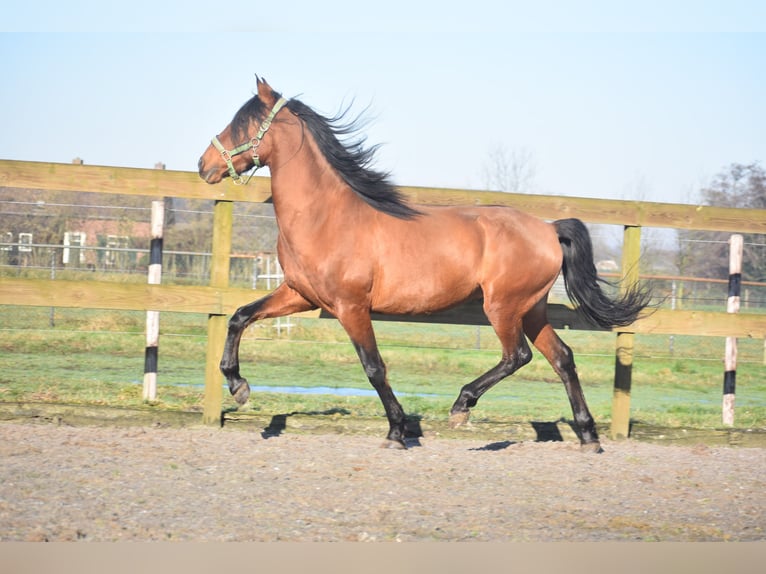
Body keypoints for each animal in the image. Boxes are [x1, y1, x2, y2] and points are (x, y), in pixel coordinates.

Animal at [196, 77, 648, 454]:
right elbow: (239, 316)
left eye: (241, 124)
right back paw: (588, 436)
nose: (204, 166)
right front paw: (237, 385)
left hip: (502, 307)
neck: (326, 217)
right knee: (562, 358)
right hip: (532, 308)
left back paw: (461, 406)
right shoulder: (300, 294)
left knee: (517, 355)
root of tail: (549, 228)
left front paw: (398, 431)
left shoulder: (350, 306)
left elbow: (374, 367)